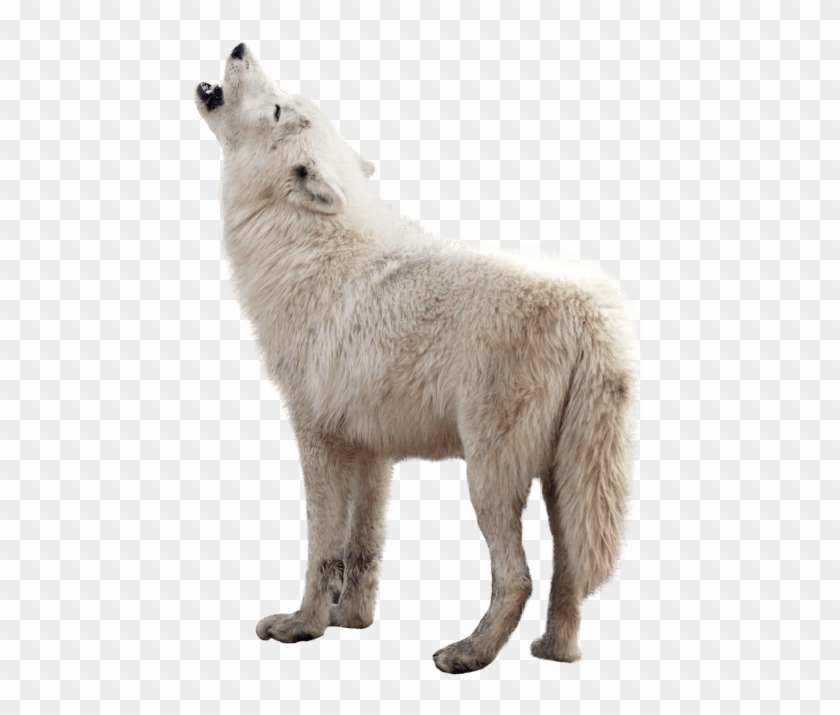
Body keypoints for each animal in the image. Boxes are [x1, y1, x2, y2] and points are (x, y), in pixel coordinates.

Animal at [194, 43, 636, 674]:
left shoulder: (317, 434)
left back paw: (468, 654)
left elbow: (321, 548)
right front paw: (352, 622)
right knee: (568, 572)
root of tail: (592, 311)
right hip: (564, 480)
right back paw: (553, 653)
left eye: (279, 108)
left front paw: (302, 626)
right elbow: (363, 551)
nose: (238, 47)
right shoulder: (371, 450)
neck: (306, 247)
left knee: (518, 578)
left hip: (489, 476)